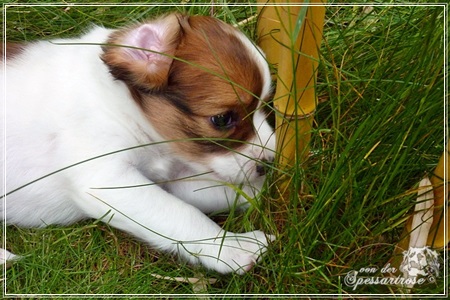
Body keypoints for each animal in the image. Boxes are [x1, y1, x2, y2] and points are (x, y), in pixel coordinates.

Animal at [0, 12, 274, 274]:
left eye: (266, 105)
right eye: (222, 119)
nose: (269, 165)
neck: (124, 107)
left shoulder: (168, 178)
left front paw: (254, 194)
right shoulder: (107, 179)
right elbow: (182, 213)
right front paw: (231, 247)